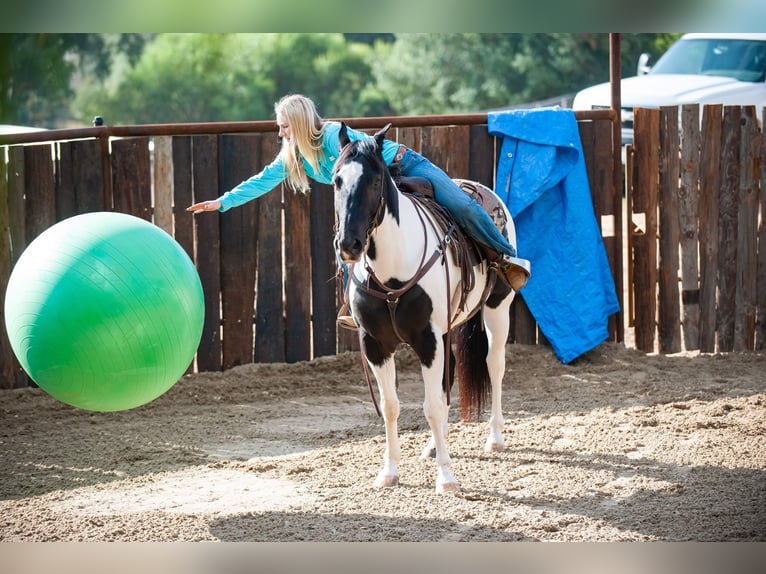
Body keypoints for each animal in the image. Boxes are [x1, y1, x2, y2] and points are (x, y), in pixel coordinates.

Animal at [332, 122, 520, 496]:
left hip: (497, 309)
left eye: (374, 180)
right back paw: (435, 445)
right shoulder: (375, 344)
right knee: (449, 380)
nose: (349, 244)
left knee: (494, 366)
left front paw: (446, 478)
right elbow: (391, 406)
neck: (392, 269)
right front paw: (389, 472)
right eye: (336, 180)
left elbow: (432, 405)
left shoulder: (427, 339)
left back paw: (495, 437)